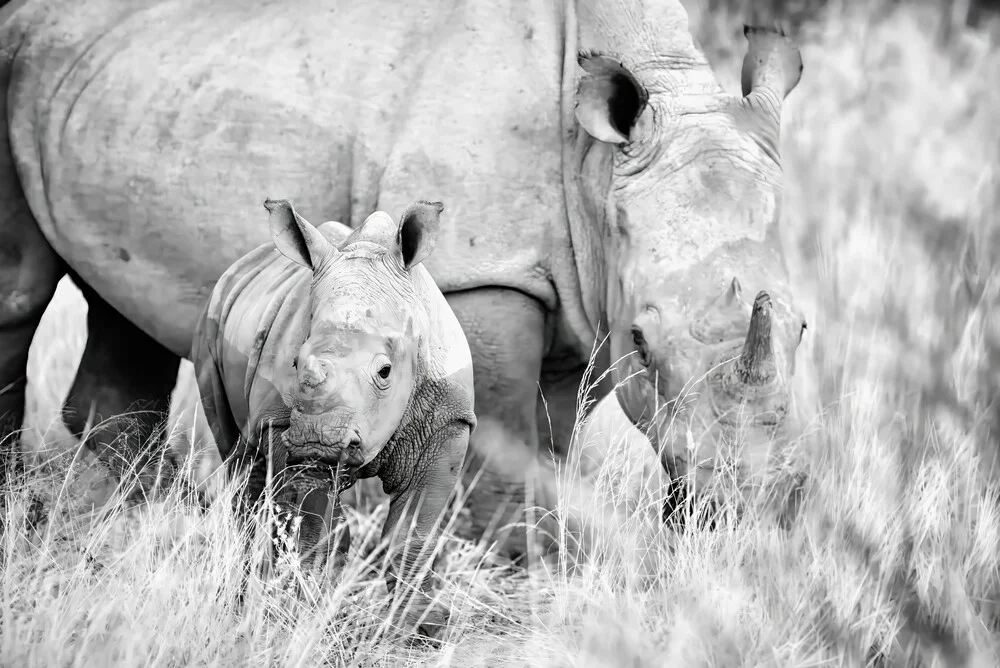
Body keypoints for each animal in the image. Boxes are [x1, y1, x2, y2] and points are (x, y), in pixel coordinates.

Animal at [0, 0, 808, 556]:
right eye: (642, 342)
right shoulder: (482, 278)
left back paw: (158, 517)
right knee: (20, 295)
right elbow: (505, 453)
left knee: (122, 304)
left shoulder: (585, 297)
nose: (755, 503)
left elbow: (548, 446)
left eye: (803, 328)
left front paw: (542, 559)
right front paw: (512, 569)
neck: (598, 165)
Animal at [194, 197, 480, 636]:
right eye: (296, 364)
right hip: (212, 316)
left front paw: (420, 629)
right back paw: (241, 598)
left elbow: (413, 533)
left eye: (385, 371)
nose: (319, 441)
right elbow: (317, 526)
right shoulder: (283, 425)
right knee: (240, 464)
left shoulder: (447, 421)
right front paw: (304, 614)